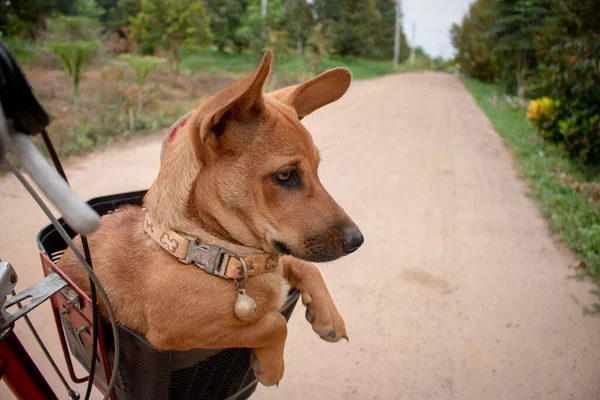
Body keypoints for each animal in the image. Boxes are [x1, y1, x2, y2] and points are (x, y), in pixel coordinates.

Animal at [59, 51, 360, 386]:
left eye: (317, 168)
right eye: (285, 175)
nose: (357, 241)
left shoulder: (280, 259)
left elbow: (305, 266)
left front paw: (329, 316)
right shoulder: (178, 330)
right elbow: (274, 323)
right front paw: (271, 367)